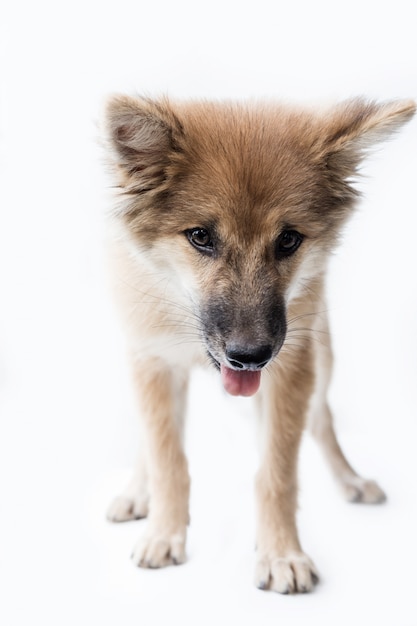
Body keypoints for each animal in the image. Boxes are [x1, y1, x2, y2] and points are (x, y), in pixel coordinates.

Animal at [102, 95, 414, 592]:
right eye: (200, 236)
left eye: (288, 239)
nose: (249, 358)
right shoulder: (152, 359)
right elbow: (167, 459)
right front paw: (164, 533)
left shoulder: (292, 369)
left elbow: (276, 473)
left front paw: (281, 552)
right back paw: (137, 492)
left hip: (324, 359)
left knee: (322, 420)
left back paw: (350, 480)